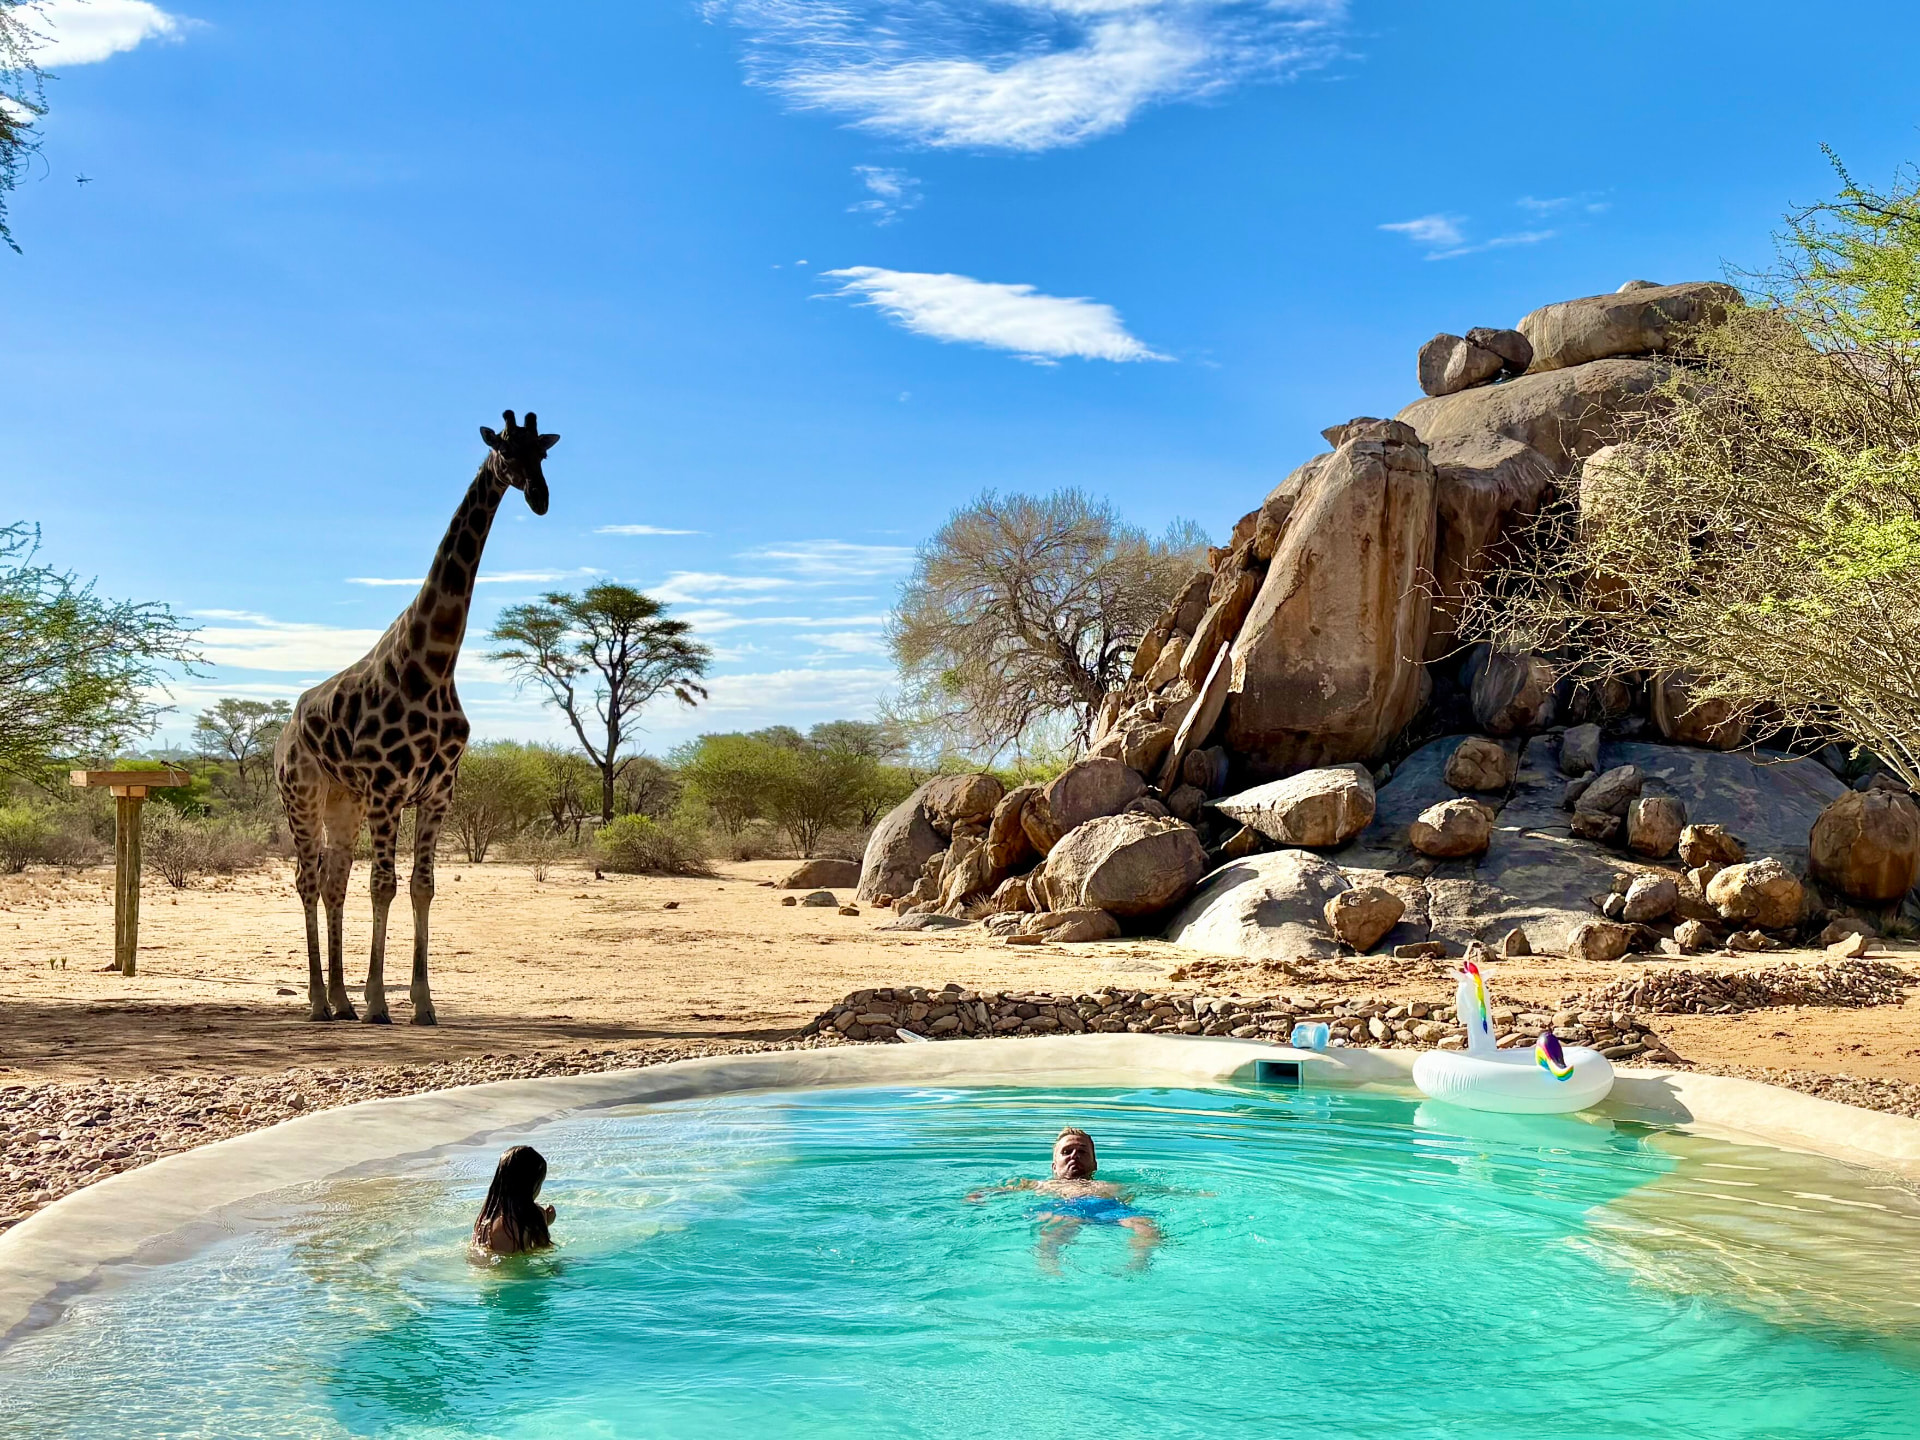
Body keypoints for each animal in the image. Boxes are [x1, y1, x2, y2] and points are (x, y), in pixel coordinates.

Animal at [275, 410, 558, 1024]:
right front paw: (381, 1001)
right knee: (307, 879)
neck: (433, 664)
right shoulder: (388, 788)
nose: (541, 498)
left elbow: (422, 886)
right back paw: (318, 1001)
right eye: (505, 450)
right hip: (302, 796)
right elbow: (384, 885)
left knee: (333, 880)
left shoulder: (437, 792)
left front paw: (422, 1003)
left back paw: (340, 1001)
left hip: (344, 802)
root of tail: (283, 732)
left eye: (544, 454)